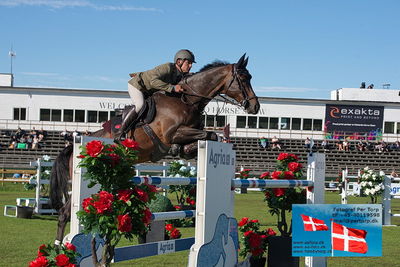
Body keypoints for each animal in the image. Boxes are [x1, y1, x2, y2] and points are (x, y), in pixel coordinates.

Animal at [49, 54, 260, 245]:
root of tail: (73, 146)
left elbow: (202, 139)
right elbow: (211, 135)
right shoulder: (172, 133)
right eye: (243, 79)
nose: (255, 106)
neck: (186, 100)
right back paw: (60, 248)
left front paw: (180, 150)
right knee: (65, 212)